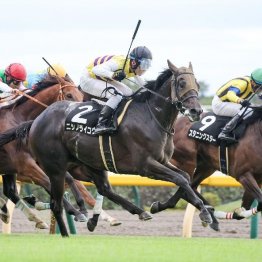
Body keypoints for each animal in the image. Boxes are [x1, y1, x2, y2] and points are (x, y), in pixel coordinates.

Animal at [0, 74, 84, 228]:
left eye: (81, 96)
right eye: (69, 95)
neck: (18, 119)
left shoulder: (40, 162)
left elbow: (66, 178)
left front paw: (80, 207)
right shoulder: (25, 165)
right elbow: (48, 183)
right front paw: (75, 211)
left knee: (10, 191)